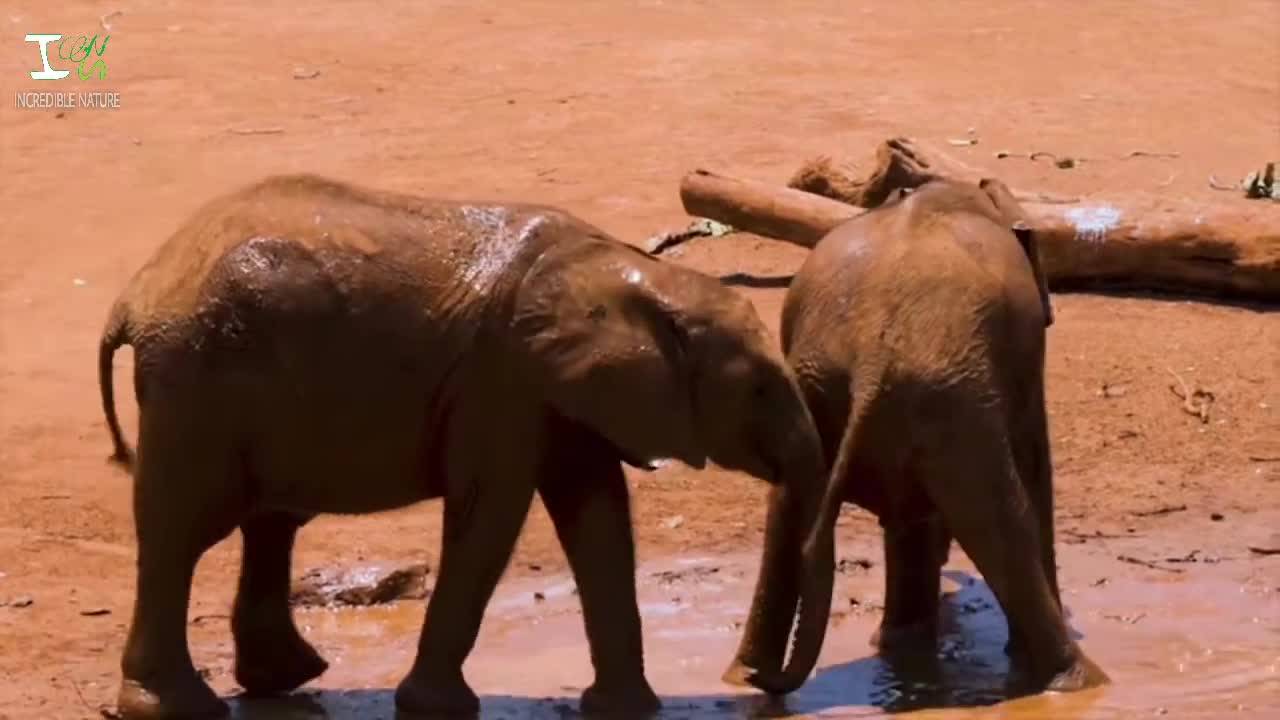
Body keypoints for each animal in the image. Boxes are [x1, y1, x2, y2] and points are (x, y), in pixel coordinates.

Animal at [102, 174, 839, 717]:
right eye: (762, 389)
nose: (757, 682)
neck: (632, 273)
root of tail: (135, 294)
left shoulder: (560, 389)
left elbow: (596, 516)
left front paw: (630, 711)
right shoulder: (502, 380)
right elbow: (491, 516)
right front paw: (438, 709)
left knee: (267, 523)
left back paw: (285, 679)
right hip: (196, 383)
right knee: (183, 531)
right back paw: (181, 707)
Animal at [721, 175, 1111, 696]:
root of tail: (869, 357)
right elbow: (1032, 465)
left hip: (825, 391)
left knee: (786, 512)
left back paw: (749, 677)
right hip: (949, 400)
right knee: (998, 514)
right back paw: (1081, 681)